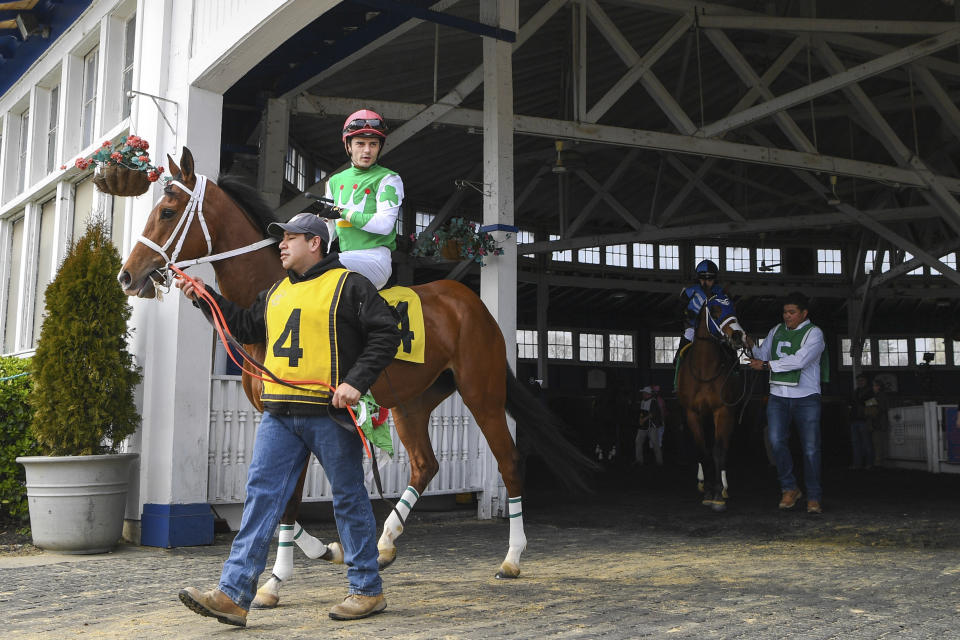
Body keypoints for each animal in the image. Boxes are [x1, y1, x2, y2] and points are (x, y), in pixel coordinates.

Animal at [116, 148, 588, 608]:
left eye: (167, 211)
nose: (127, 275)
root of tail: (471, 302)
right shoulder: (277, 413)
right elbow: (273, 495)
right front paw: (327, 550)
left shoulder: (296, 411)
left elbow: (289, 498)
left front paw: (275, 581)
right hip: (411, 402)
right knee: (426, 464)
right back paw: (385, 543)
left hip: (482, 393)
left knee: (508, 461)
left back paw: (512, 558)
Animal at [676, 298, 752, 512]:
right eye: (716, 311)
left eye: (733, 308)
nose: (739, 335)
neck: (704, 371)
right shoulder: (692, 413)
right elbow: (703, 450)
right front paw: (708, 489)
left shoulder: (723, 411)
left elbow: (718, 450)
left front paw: (718, 493)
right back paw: (702, 480)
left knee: (723, 445)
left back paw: (724, 486)